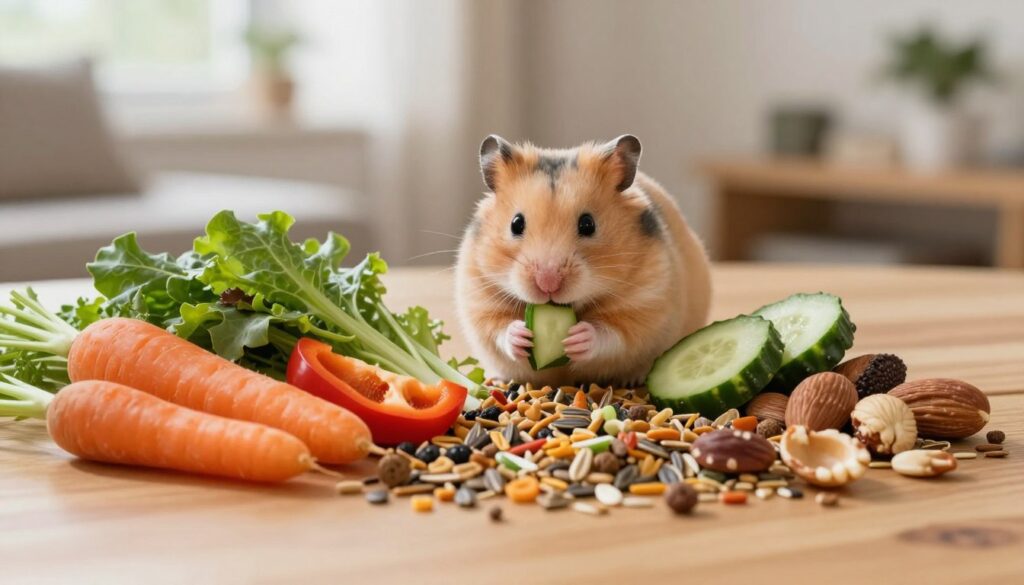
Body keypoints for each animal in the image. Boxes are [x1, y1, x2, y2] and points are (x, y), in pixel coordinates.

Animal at [454, 135, 711, 387]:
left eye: (588, 224)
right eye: (516, 224)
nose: (548, 283)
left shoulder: (646, 303)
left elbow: (613, 334)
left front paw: (579, 337)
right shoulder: (479, 298)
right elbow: (498, 329)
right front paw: (520, 336)